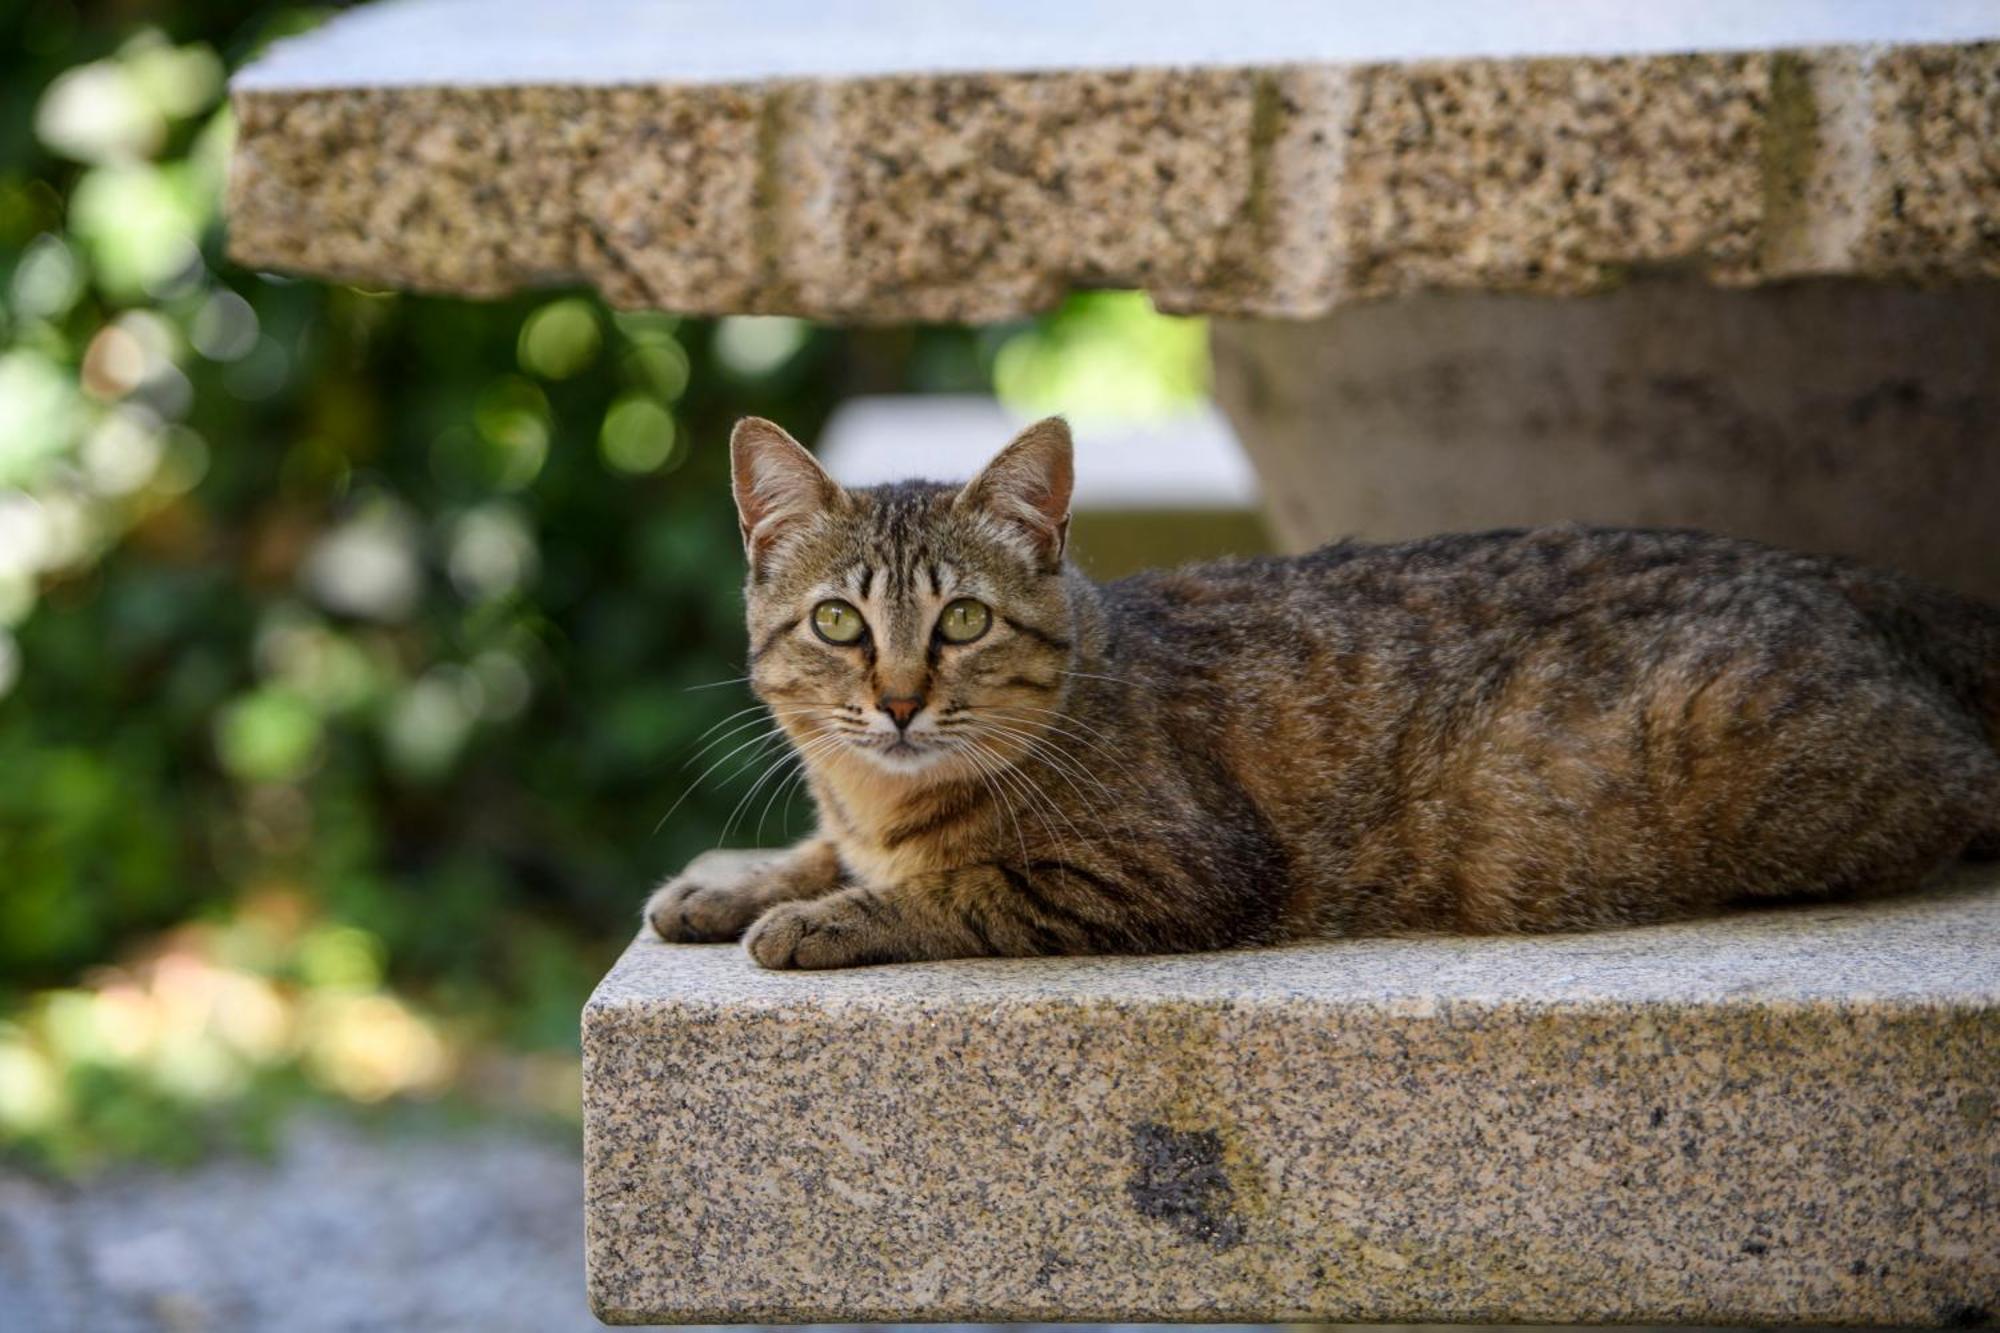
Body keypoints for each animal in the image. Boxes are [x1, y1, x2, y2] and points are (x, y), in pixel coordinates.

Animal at [648, 416, 1992, 964]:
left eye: (962, 620)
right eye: (838, 621)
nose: (898, 701)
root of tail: (1834, 570)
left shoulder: (1174, 869)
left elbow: (955, 889)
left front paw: (819, 916)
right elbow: (819, 851)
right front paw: (729, 885)